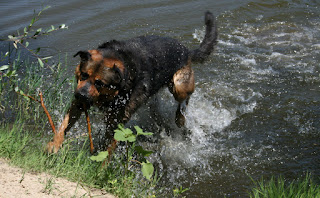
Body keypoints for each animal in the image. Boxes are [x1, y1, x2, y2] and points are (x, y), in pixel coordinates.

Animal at [47, 10, 218, 153]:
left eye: (99, 83)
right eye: (83, 75)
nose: (80, 95)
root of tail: (187, 51)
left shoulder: (116, 122)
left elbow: (107, 149)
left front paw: (99, 166)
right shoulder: (78, 104)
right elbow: (63, 125)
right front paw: (54, 145)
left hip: (179, 85)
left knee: (185, 99)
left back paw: (180, 118)